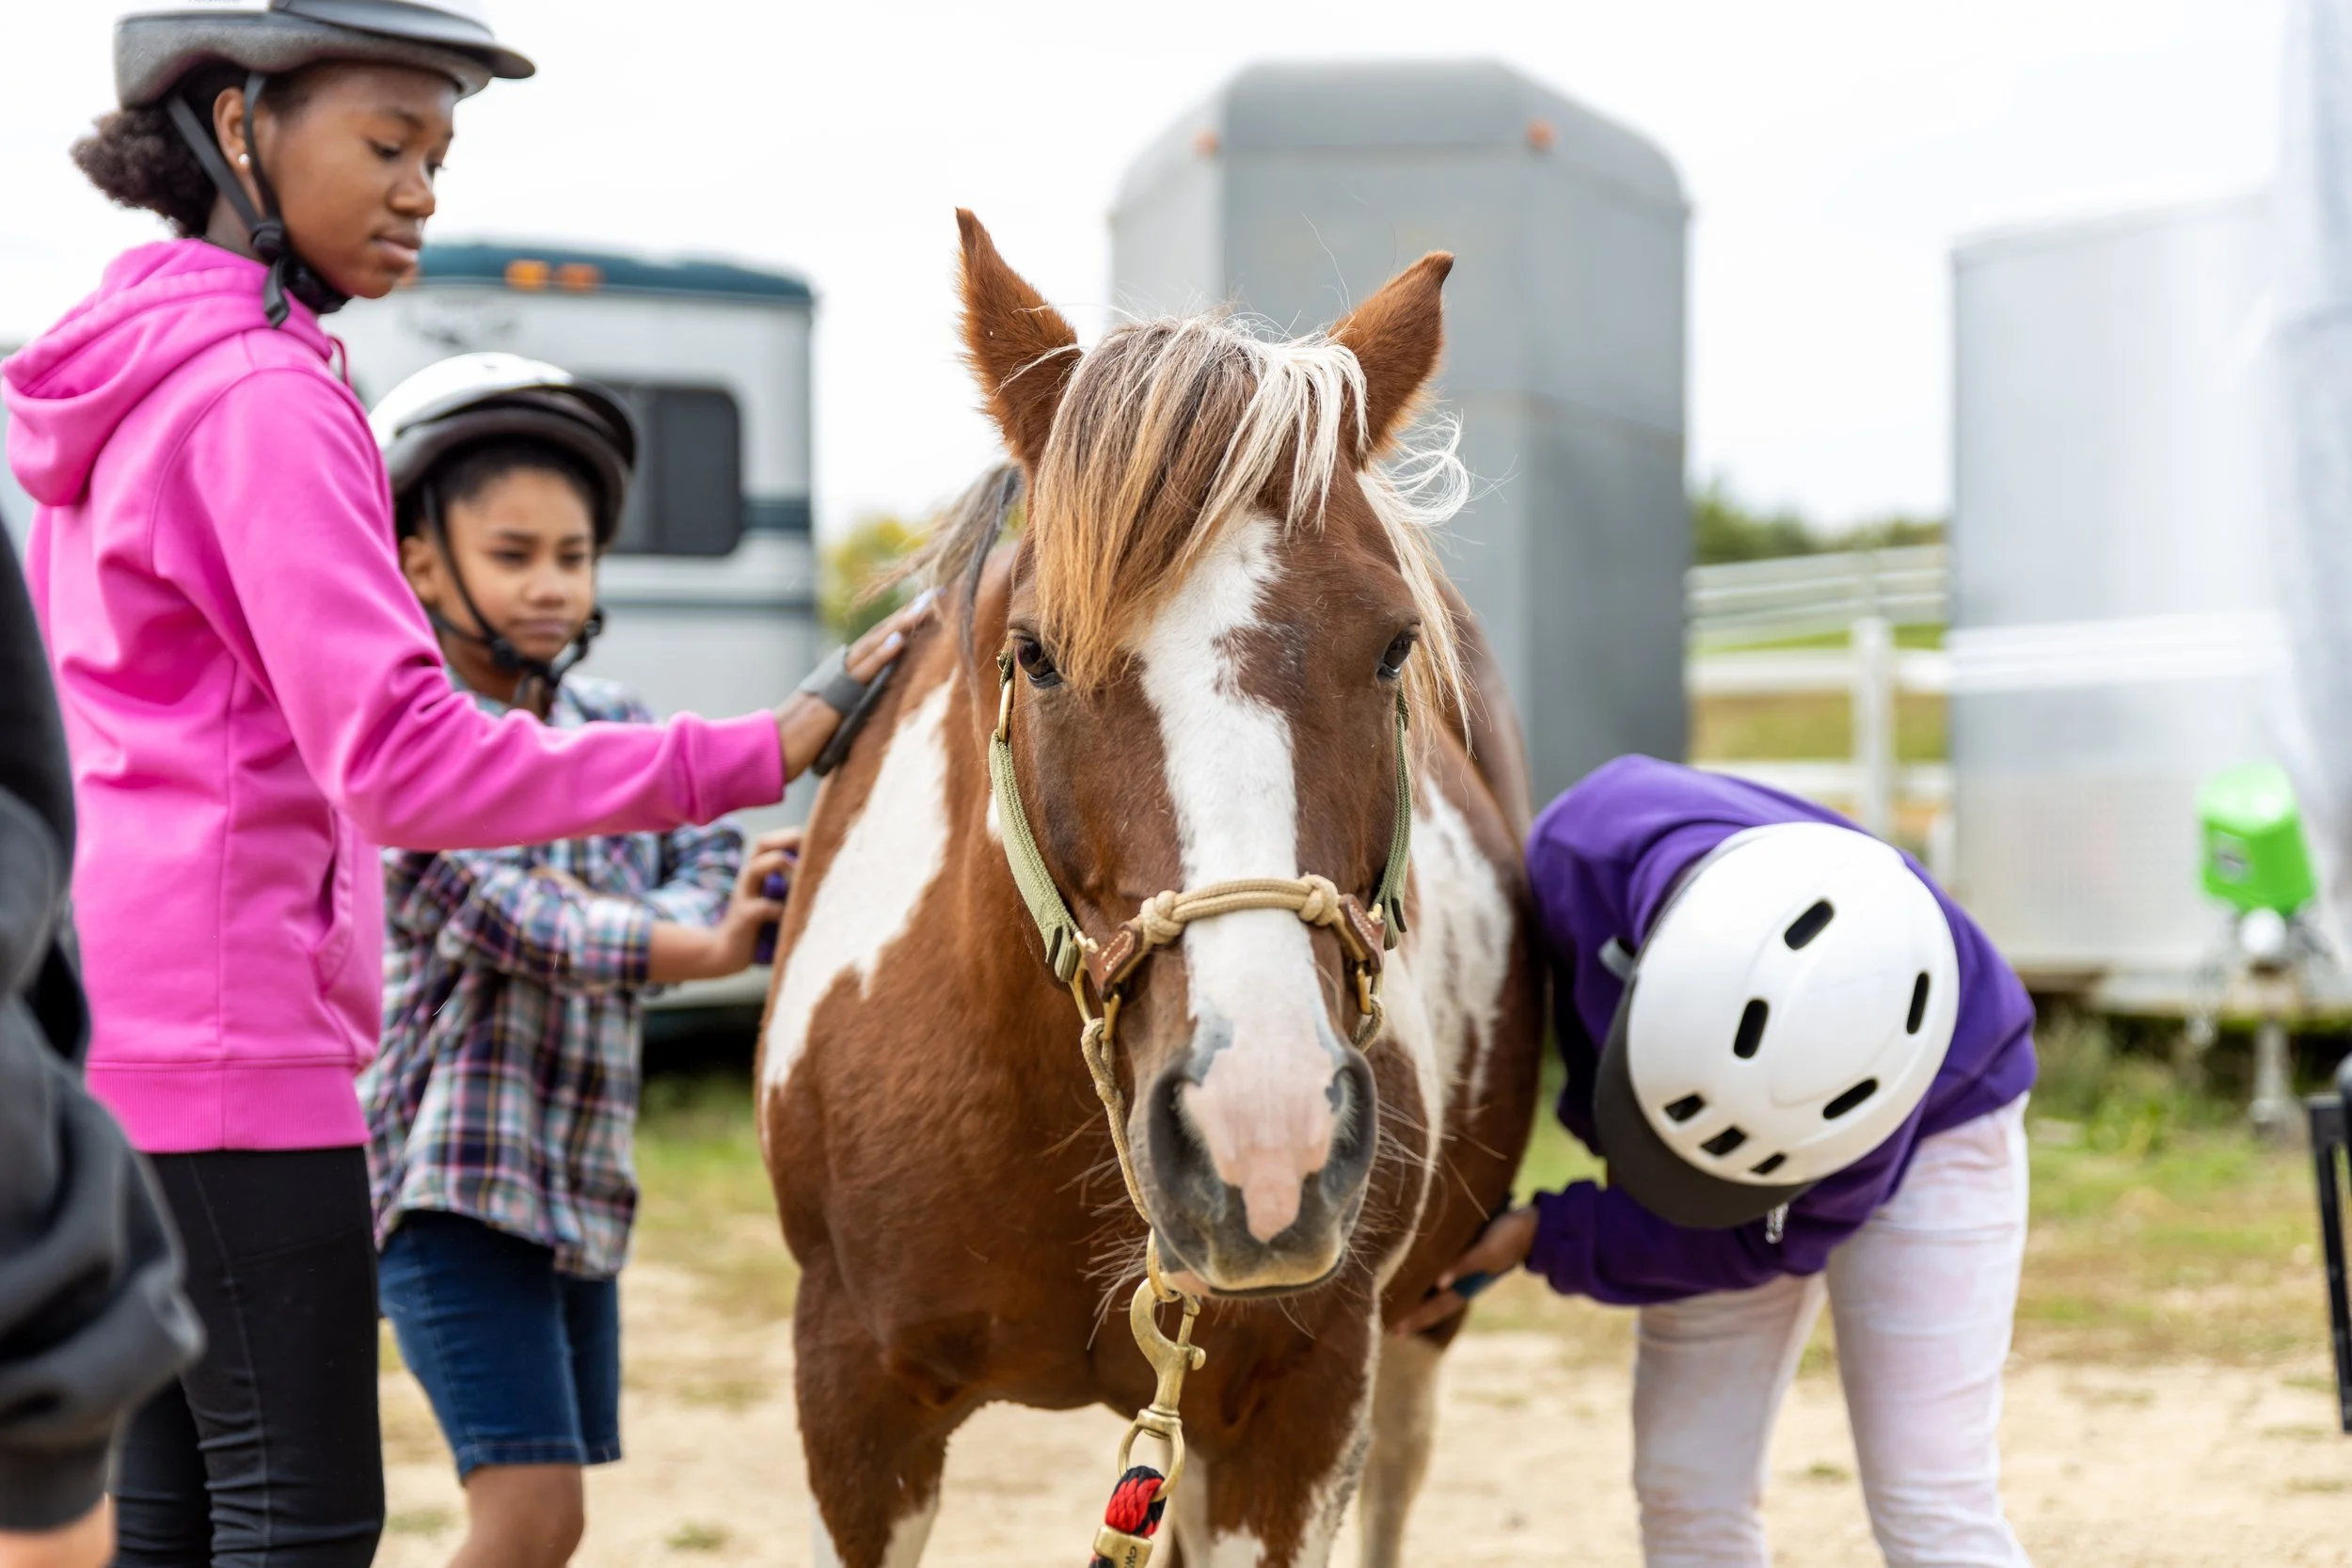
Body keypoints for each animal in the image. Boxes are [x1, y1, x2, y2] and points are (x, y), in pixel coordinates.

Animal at [756, 210, 1544, 1568]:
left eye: (1393, 645)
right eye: (1034, 653)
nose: (1263, 1134)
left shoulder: (1296, 1411)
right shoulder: (849, 1398)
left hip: (1420, 1327)